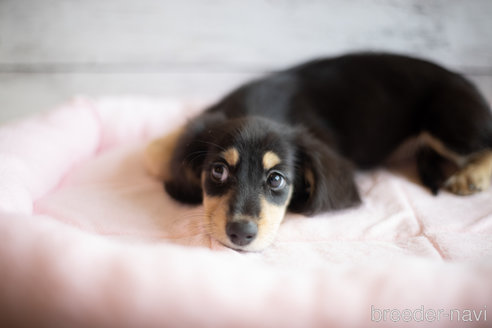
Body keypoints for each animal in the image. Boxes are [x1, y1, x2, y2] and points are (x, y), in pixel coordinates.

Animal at [144, 52, 492, 251]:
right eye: (218, 170)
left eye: (276, 179)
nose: (241, 234)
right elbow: (159, 148)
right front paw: (157, 149)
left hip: (448, 121)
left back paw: (470, 176)